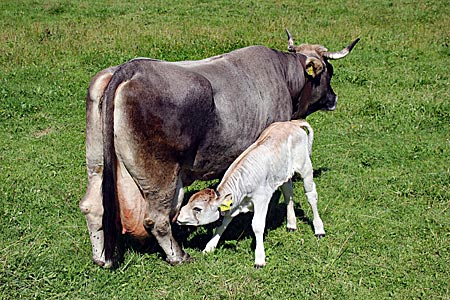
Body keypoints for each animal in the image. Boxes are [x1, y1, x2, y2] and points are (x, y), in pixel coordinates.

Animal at [178, 119, 326, 268]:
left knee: (311, 195)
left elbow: (257, 226)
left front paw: (259, 259)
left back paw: (319, 229)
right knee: (288, 193)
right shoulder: (233, 204)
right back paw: (291, 224)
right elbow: (222, 225)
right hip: (283, 173)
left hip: (305, 166)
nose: (178, 217)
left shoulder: (262, 199)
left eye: (197, 208)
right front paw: (209, 247)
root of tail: (292, 123)